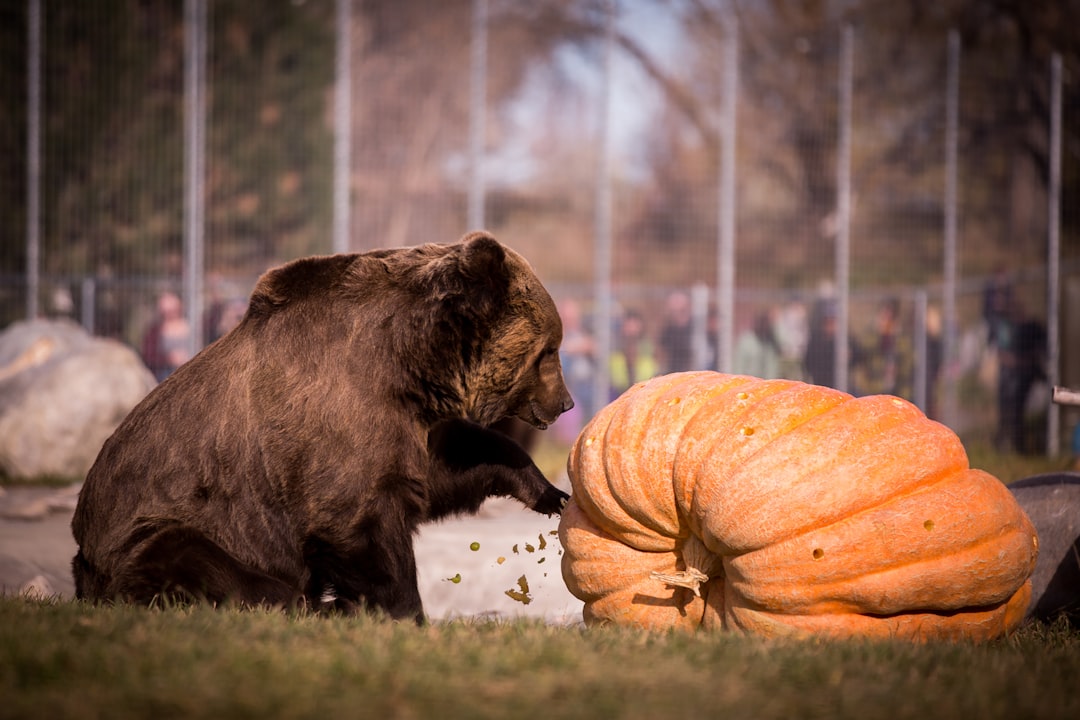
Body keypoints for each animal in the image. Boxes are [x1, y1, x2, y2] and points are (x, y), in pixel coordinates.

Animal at [71, 231, 574, 622]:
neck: (406, 358)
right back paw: (307, 603)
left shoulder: (401, 422)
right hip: (160, 527)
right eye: (549, 350)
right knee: (193, 560)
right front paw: (398, 609)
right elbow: (360, 521)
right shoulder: (335, 420)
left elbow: (442, 468)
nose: (566, 402)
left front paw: (550, 492)